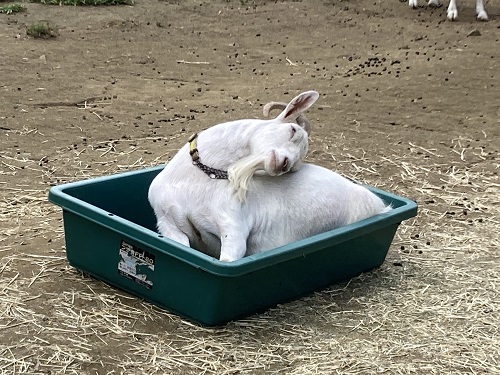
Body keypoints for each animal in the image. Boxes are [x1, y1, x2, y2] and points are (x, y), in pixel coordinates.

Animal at [148, 90, 390, 262]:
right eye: (292, 130)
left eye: (296, 166)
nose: (284, 164)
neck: (197, 185)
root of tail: (381, 205)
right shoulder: (167, 223)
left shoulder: (234, 229)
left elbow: (227, 259)